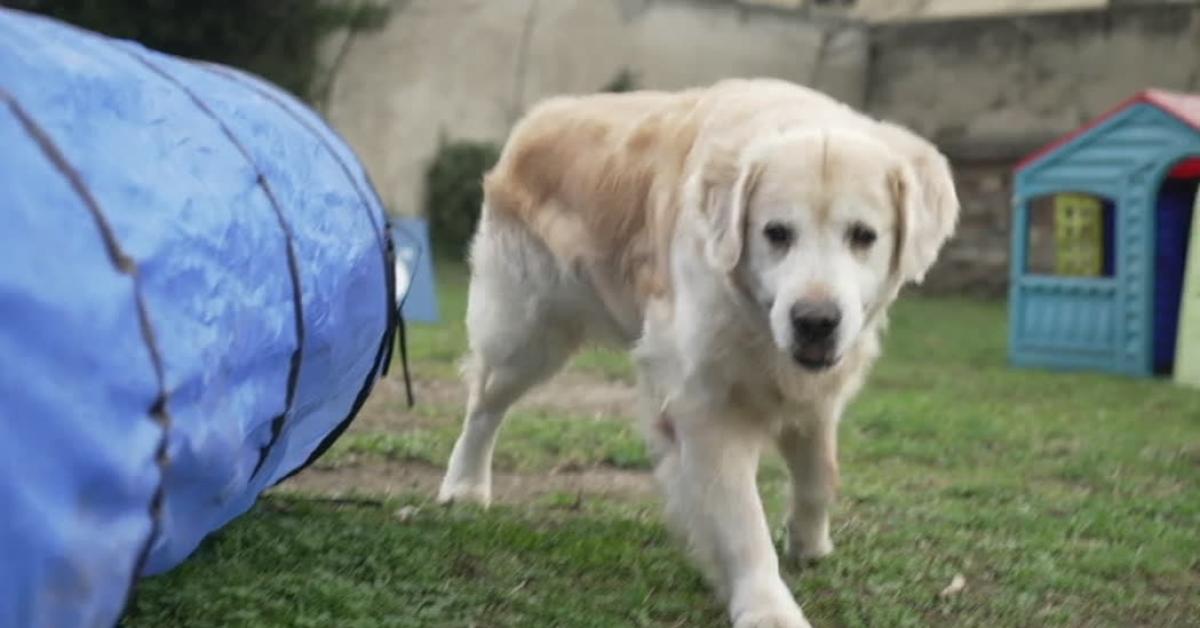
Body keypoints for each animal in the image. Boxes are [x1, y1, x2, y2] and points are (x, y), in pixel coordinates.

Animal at [437, 78, 959, 627]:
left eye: (863, 236)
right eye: (776, 233)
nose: (815, 322)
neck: (753, 319)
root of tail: (541, 114)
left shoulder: (814, 392)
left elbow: (819, 473)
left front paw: (809, 542)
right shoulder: (706, 407)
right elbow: (742, 520)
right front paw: (767, 606)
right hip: (525, 336)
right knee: (484, 404)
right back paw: (465, 485)